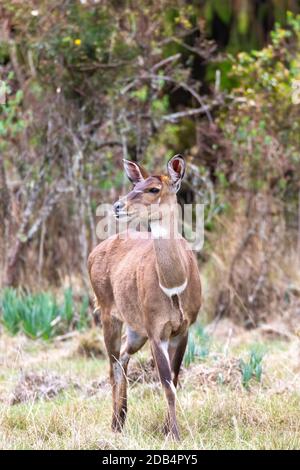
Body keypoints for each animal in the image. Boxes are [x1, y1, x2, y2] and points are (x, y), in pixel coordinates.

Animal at [88, 156, 202, 438]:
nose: (118, 206)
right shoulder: (155, 330)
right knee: (112, 366)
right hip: (108, 315)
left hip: (135, 330)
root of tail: (92, 254)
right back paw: (115, 424)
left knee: (123, 358)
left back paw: (120, 420)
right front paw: (175, 434)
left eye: (153, 188)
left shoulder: (183, 329)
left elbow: (174, 380)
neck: (173, 287)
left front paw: (167, 429)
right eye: (134, 185)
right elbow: (167, 384)